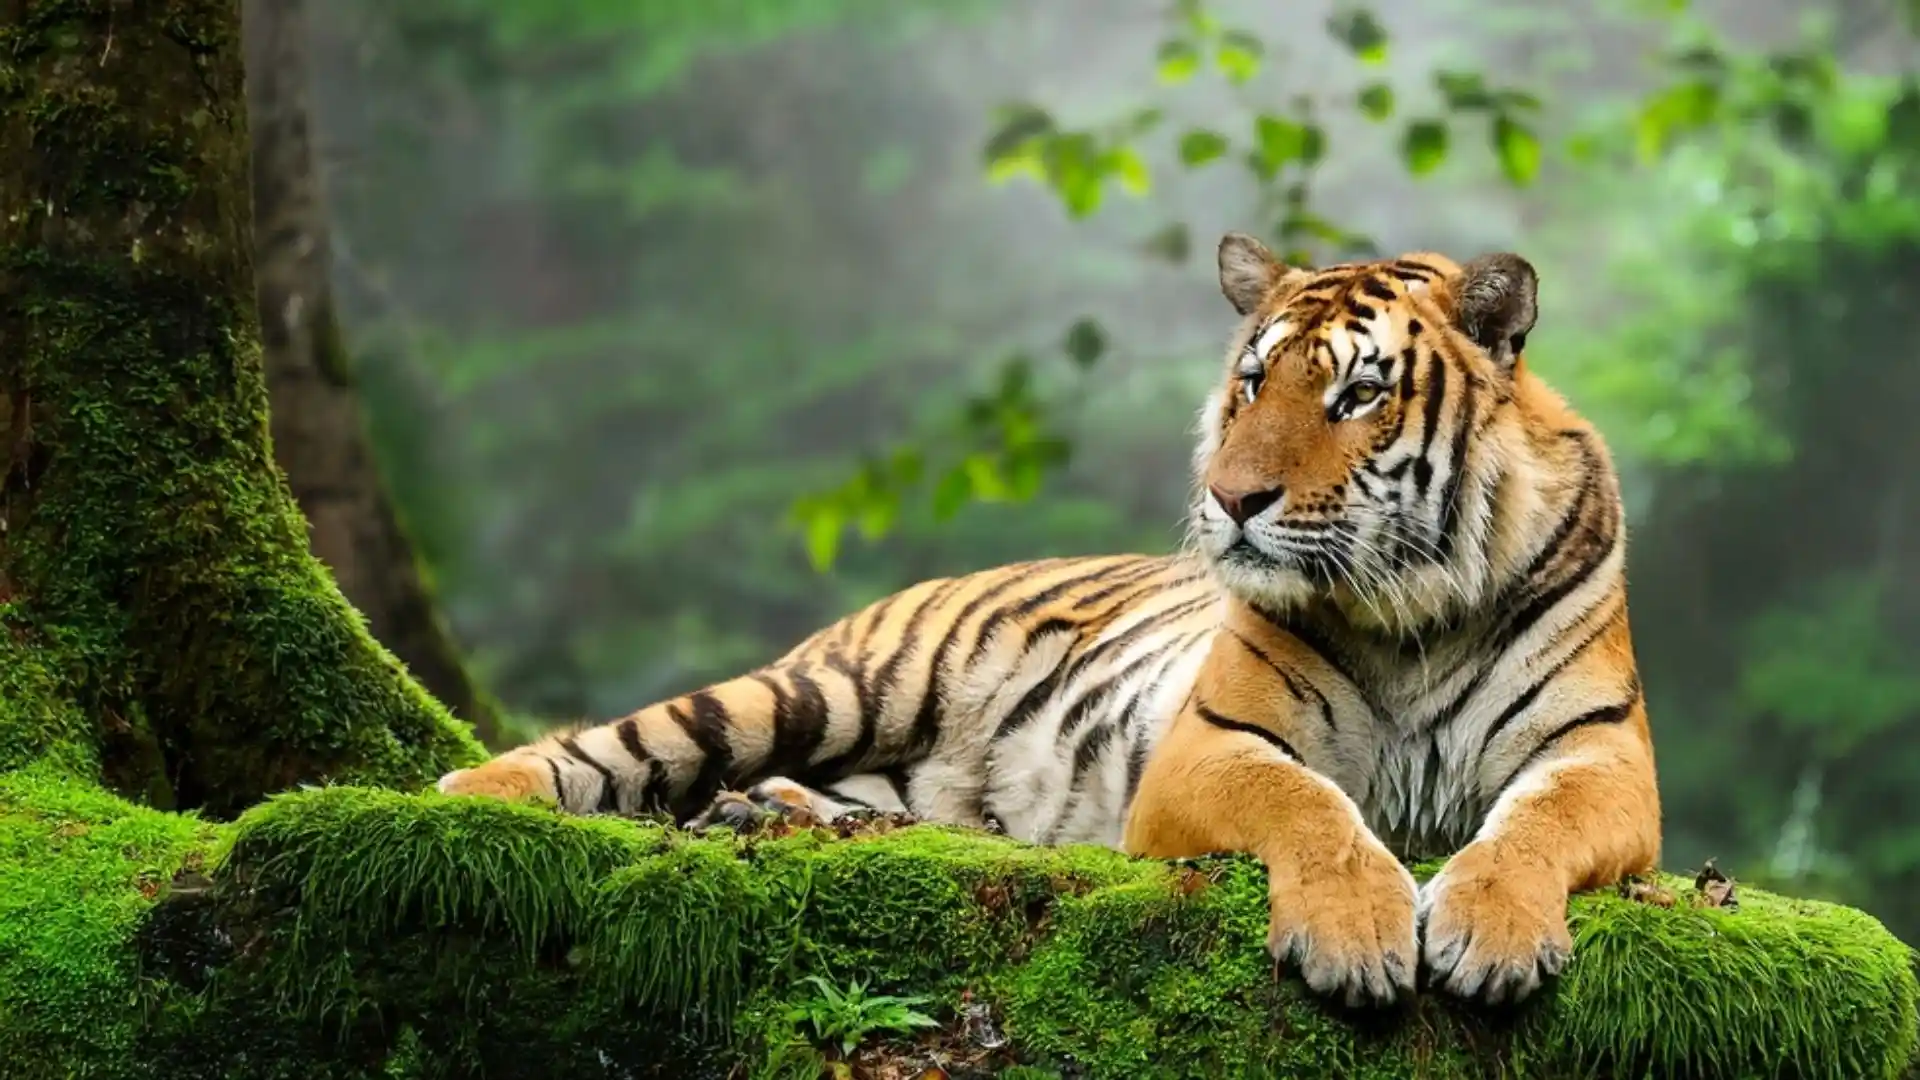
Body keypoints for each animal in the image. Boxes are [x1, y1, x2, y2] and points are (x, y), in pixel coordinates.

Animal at [436, 231, 1661, 1010]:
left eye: (1357, 394)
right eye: (1251, 384)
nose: (1230, 497)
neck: (1415, 606)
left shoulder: (1601, 756)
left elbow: (1533, 825)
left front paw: (1490, 933)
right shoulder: (1213, 744)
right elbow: (1310, 804)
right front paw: (1357, 933)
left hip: (897, 775)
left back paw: (773, 815)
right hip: (827, 688)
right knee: (613, 745)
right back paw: (471, 795)